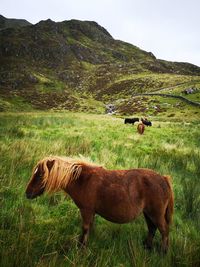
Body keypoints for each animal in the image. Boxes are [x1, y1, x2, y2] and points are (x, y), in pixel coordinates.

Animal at [26, 156, 173, 252]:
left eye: (40, 175)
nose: (27, 193)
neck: (83, 180)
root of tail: (163, 179)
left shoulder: (86, 211)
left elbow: (85, 229)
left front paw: (81, 247)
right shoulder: (91, 212)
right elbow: (89, 228)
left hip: (156, 214)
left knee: (164, 231)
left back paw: (163, 252)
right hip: (148, 214)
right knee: (152, 229)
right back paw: (147, 247)